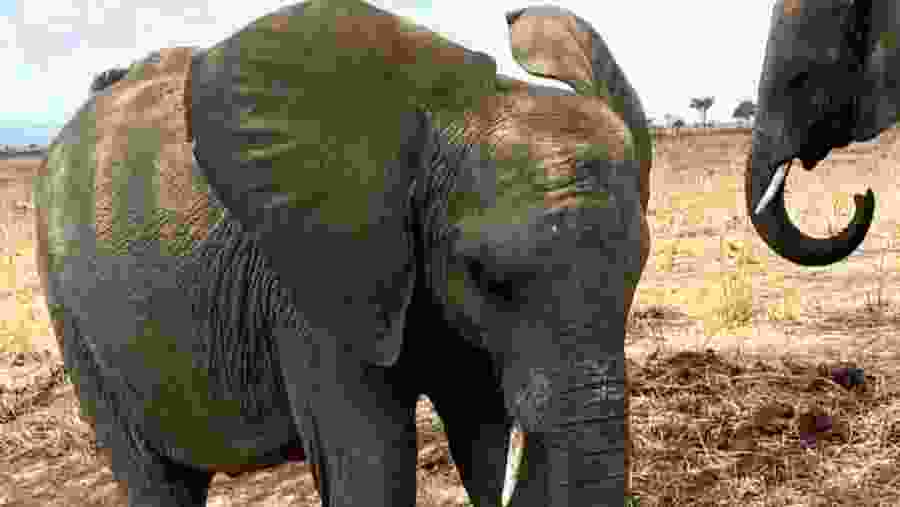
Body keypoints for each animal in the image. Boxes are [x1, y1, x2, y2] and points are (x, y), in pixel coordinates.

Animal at [33, 1, 652, 505]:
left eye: (637, 270)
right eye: (483, 275)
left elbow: (491, 442)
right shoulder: (313, 284)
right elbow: (370, 467)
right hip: (69, 311)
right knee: (151, 478)